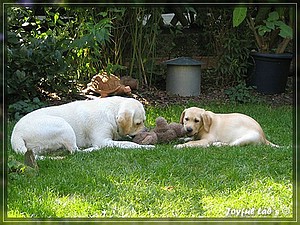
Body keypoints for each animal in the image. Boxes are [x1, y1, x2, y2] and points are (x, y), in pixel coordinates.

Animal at [10, 96, 154, 158]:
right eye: (138, 123)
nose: (146, 131)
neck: (112, 112)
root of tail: (16, 135)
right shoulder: (103, 141)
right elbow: (129, 144)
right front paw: (147, 147)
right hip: (64, 126)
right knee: (75, 151)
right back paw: (92, 149)